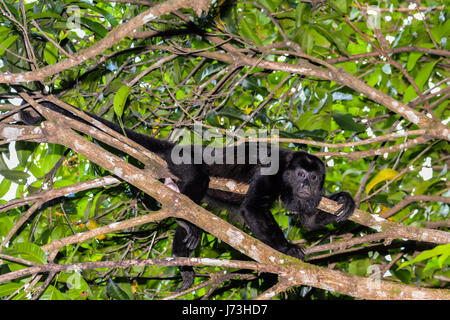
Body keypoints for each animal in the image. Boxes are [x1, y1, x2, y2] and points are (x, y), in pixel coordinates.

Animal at [18, 99, 356, 292]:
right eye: (300, 175)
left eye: (315, 177)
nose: (308, 186)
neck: (287, 174)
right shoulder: (273, 173)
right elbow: (253, 208)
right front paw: (286, 249)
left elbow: (309, 222)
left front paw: (343, 200)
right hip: (185, 163)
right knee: (194, 188)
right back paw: (186, 234)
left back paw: (183, 255)